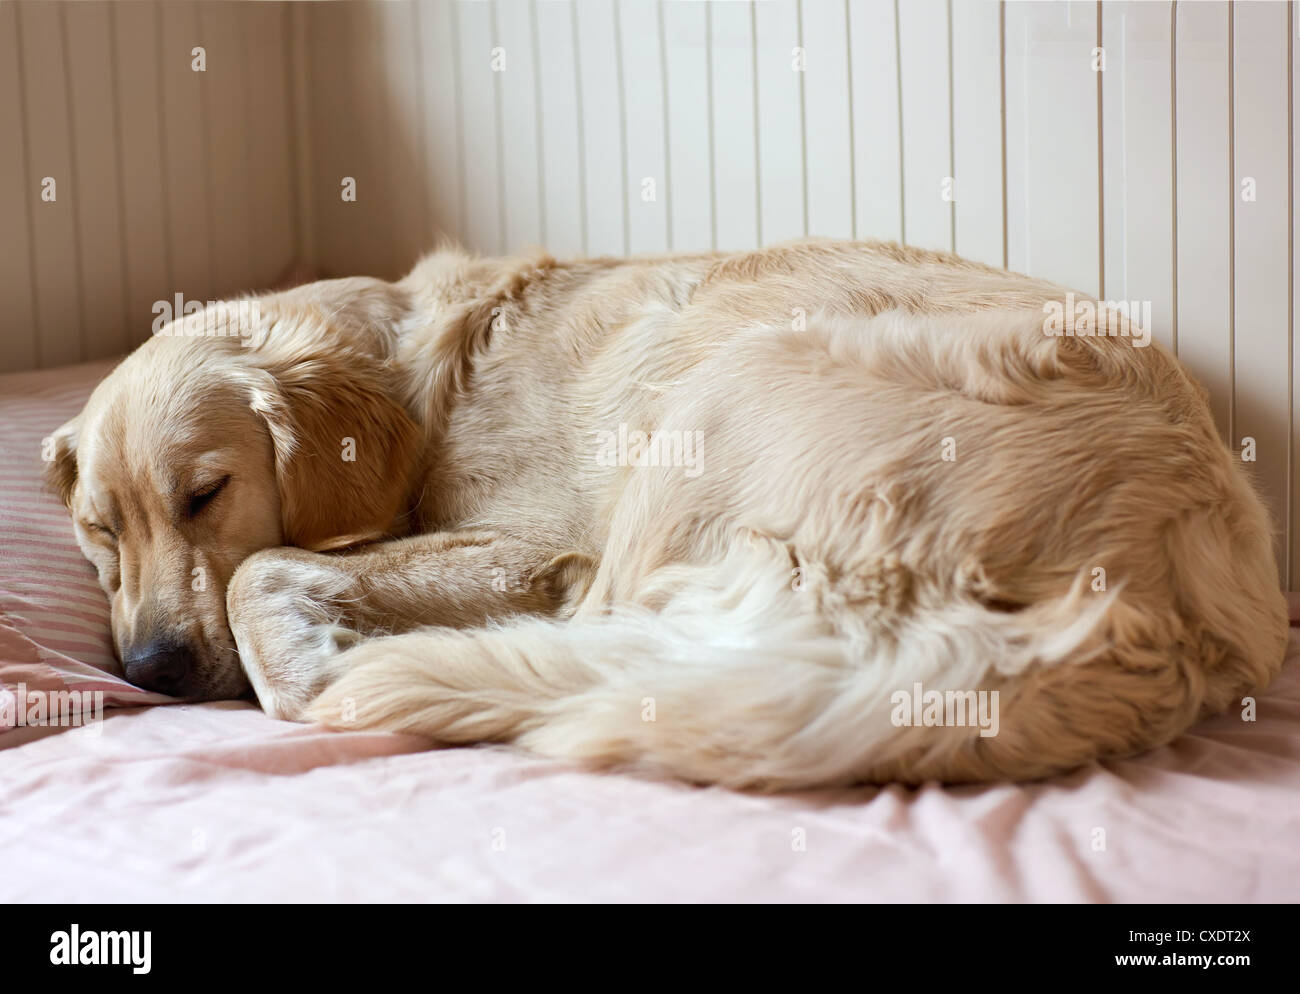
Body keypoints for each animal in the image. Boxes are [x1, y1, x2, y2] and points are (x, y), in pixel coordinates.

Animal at [43, 242, 1289, 790]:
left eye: (206, 493)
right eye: (99, 535)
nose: (151, 670)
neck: (417, 374)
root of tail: (1153, 611)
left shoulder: (535, 542)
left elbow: (261, 570)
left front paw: (304, 657)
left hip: (719, 393)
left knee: (590, 636)